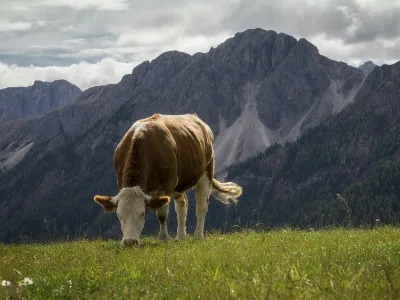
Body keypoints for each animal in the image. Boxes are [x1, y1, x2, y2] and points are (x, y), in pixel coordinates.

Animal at [94, 112, 242, 246]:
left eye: (142, 213)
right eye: (119, 215)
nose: (130, 242)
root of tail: (196, 117)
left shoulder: (167, 185)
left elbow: (162, 215)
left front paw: (163, 238)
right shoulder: (120, 182)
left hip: (206, 172)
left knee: (201, 206)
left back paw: (198, 235)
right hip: (179, 183)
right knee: (182, 204)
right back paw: (181, 236)